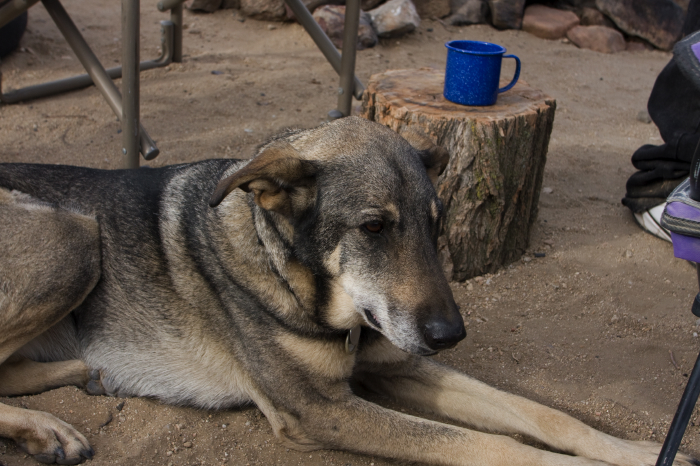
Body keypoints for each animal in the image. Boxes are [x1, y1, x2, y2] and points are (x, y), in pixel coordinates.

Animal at [0, 116, 696, 466]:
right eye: (373, 227)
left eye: (436, 225)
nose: (451, 335)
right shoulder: (321, 410)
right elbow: (497, 445)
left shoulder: (399, 364)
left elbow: (543, 414)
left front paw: (637, 452)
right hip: (74, 235)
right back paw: (47, 429)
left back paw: (77, 377)